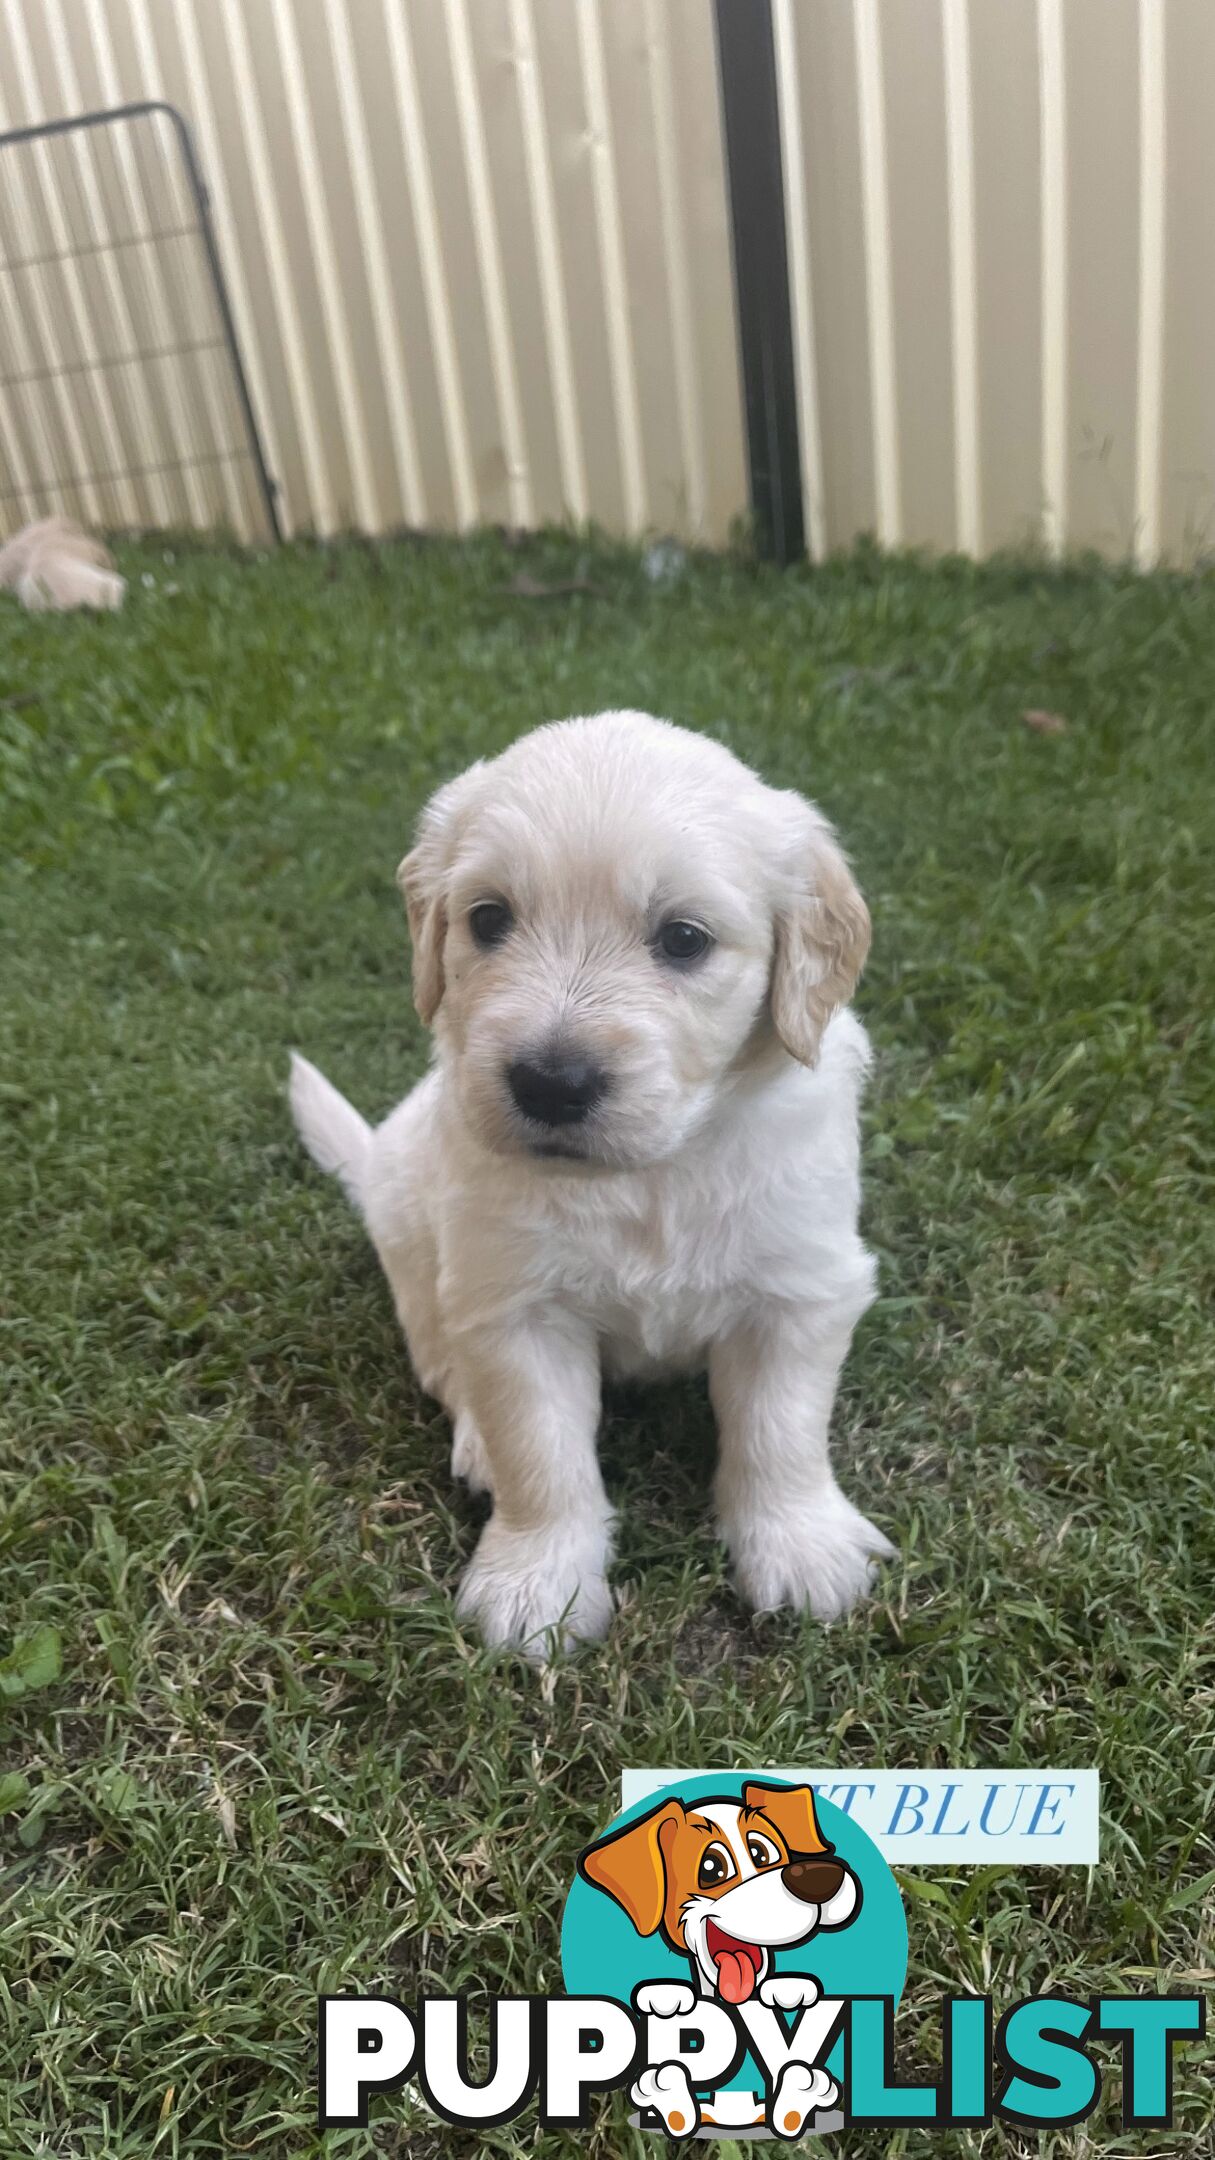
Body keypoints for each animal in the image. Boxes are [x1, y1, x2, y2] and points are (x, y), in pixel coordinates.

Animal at [289, 708, 895, 1650]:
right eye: (488, 919)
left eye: (682, 939)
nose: (549, 1082)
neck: (655, 1172)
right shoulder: (514, 1308)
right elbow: (541, 1454)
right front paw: (535, 1583)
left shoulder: (800, 1288)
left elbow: (780, 1431)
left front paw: (801, 1547)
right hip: (409, 1230)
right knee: (440, 1359)